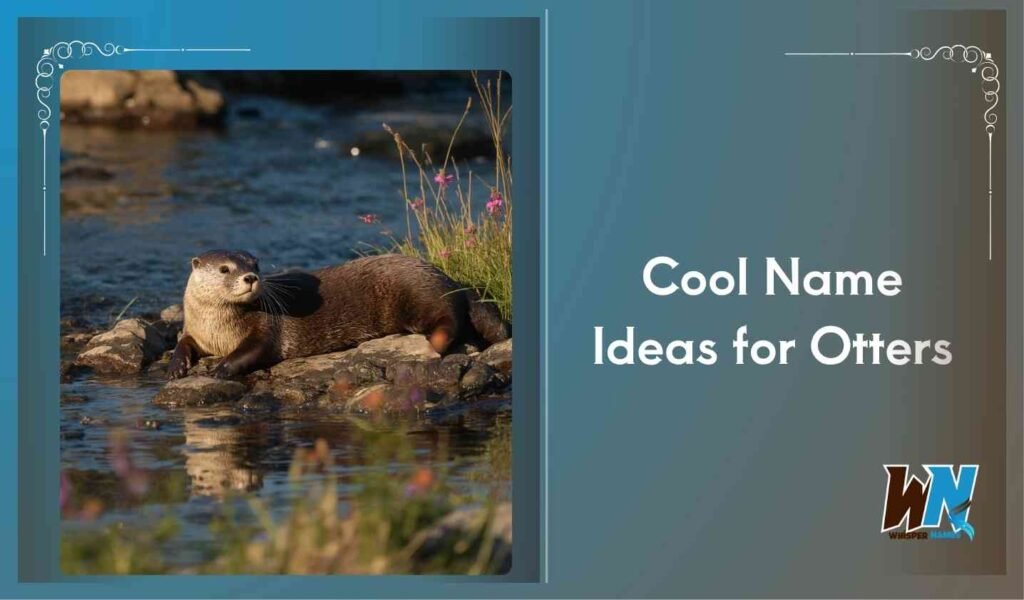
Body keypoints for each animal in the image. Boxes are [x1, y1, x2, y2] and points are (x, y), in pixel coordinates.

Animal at [167, 251, 509, 379]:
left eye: (255, 264)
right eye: (225, 269)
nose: (250, 277)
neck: (217, 328)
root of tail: (448, 278)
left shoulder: (266, 328)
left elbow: (254, 350)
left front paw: (222, 368)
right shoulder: (196, 331)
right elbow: (183, 342)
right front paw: (177, 366)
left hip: (420, 294)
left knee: (449, 317)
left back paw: (436, 341)